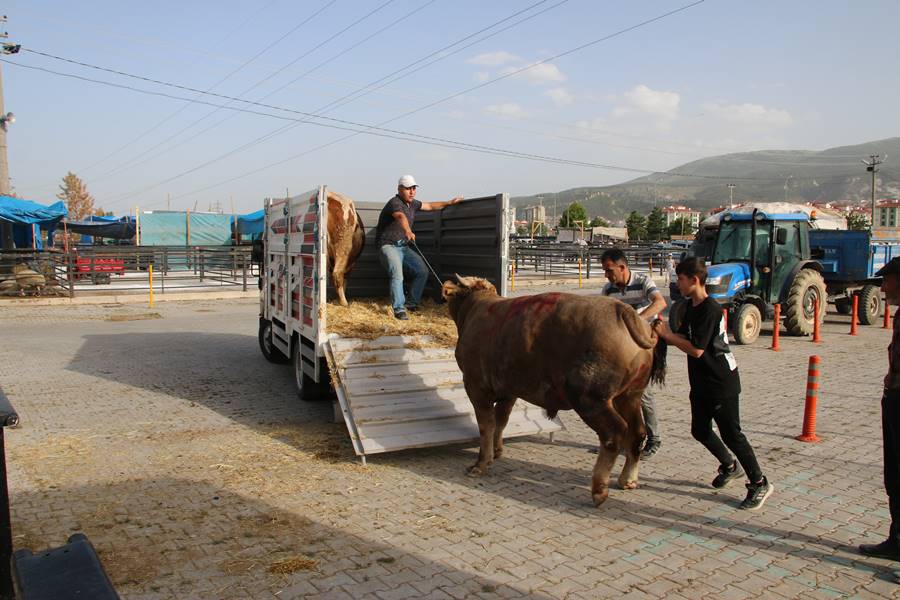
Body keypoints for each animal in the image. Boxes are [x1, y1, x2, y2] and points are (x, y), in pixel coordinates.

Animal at [440, 276, 664, 506]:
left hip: (589, 399)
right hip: (630, 395)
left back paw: (599, 490)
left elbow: (486, 425)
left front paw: (481, 463)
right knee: (637, 432)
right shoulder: (509, 390)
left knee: (614, 433)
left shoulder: (477, 388)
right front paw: (497, 450)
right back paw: (628, 479)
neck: (476, 307)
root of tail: (621, 309)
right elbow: (501, 421)